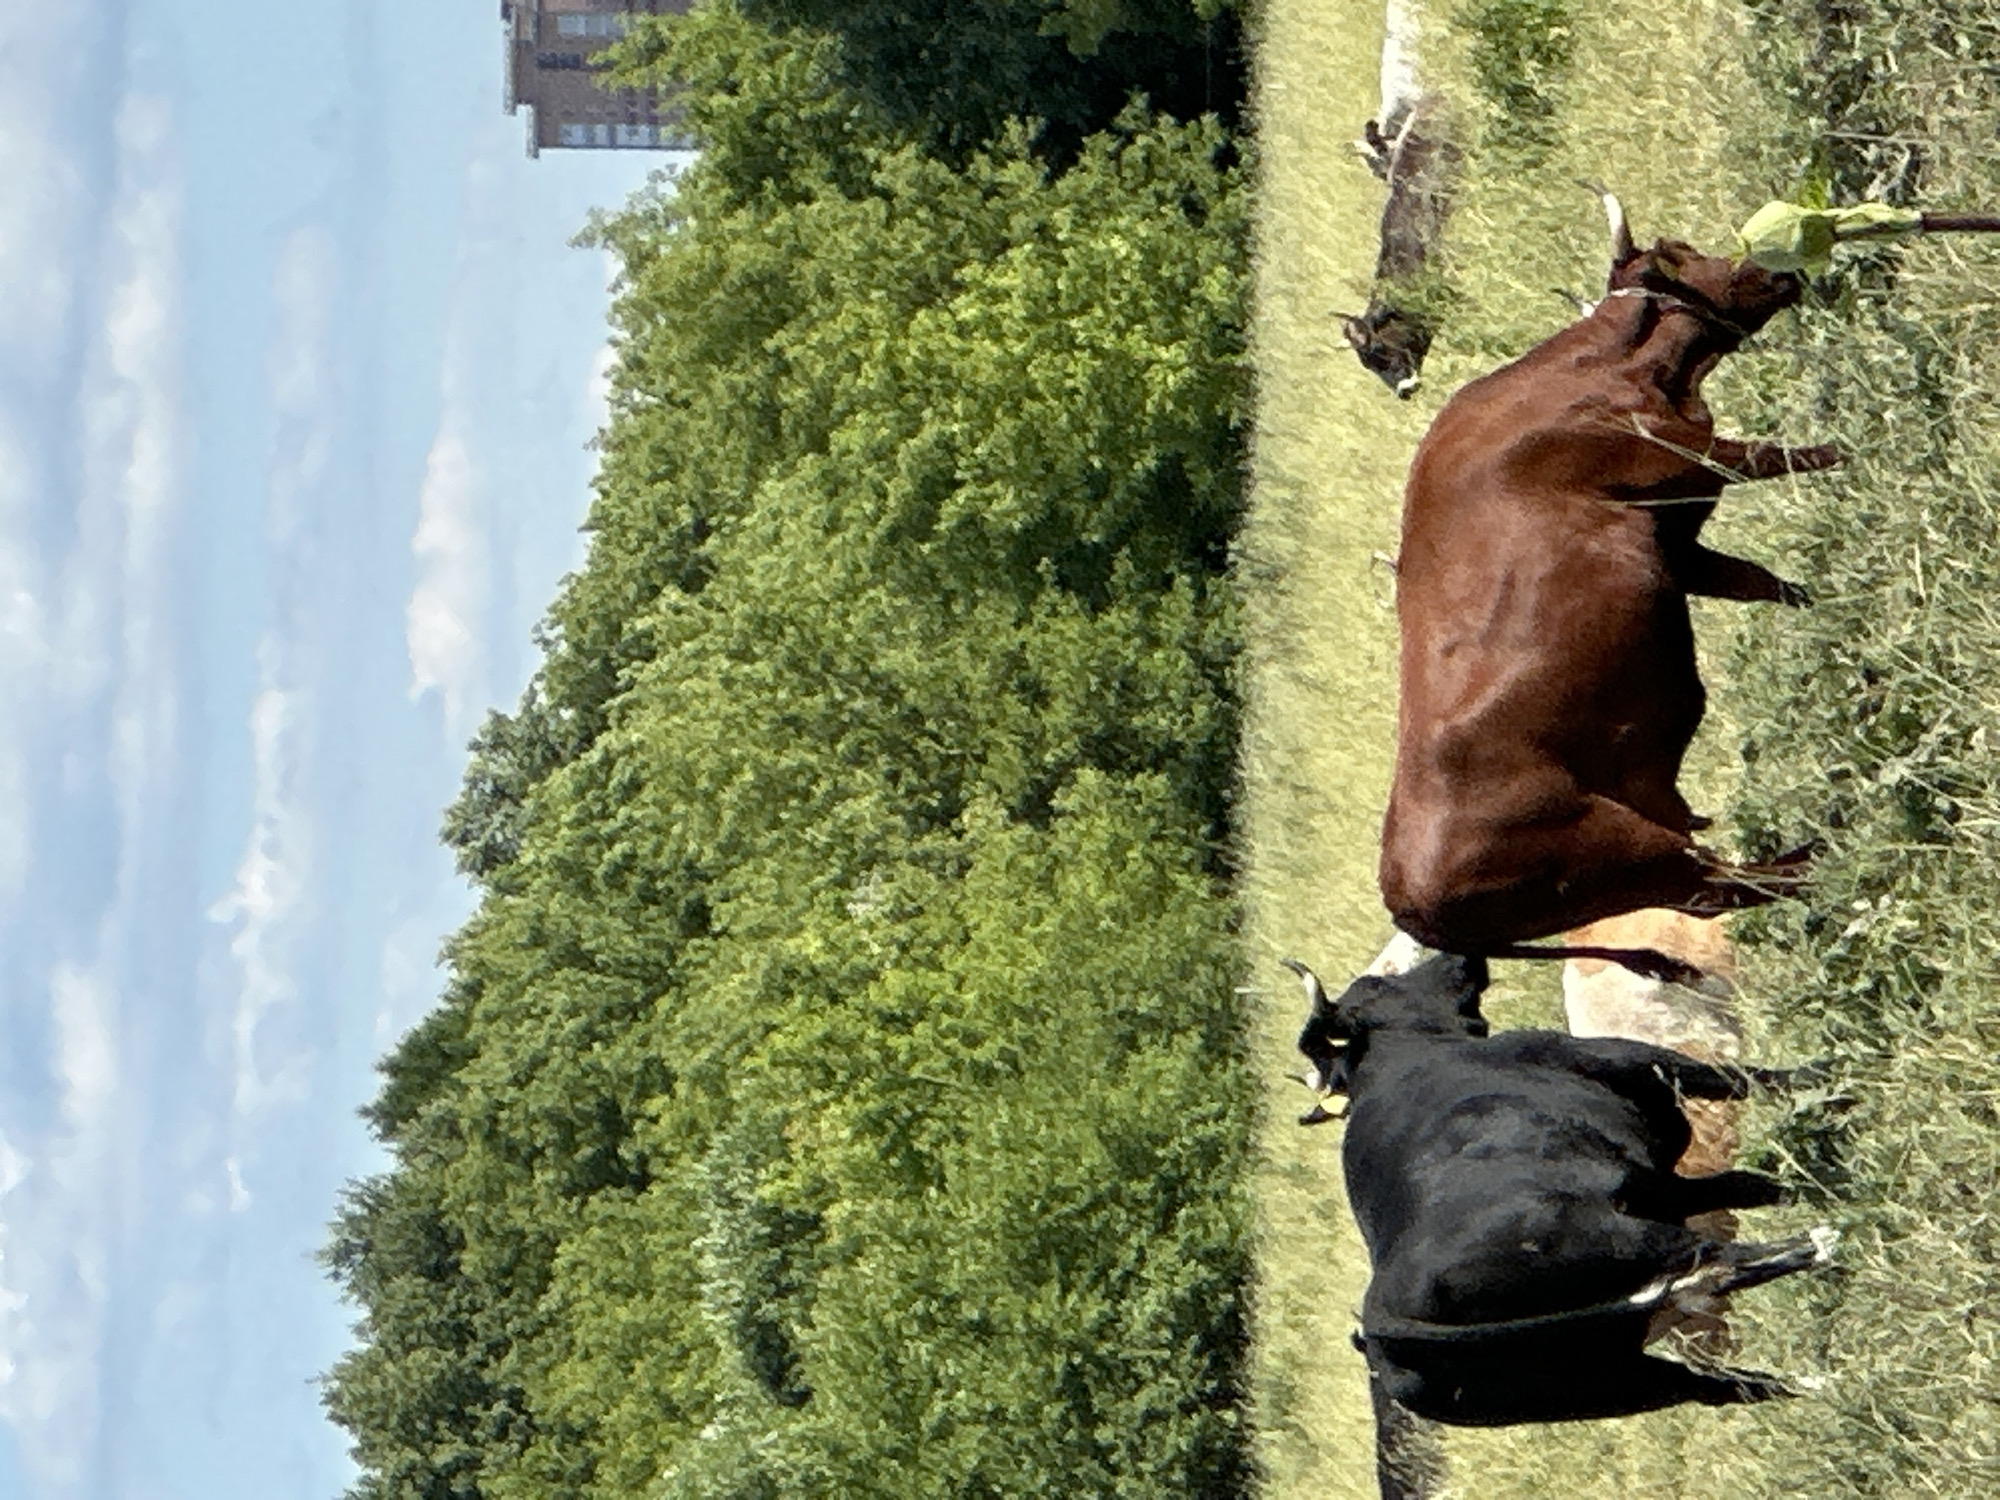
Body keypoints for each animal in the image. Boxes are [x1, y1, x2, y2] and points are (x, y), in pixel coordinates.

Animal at [1285, 949, 1833, 1428]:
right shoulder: (1630, 1063)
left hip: (1617, 1380)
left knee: (1729, 1382)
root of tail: (1381, 1322)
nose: (1456, 955)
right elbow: (1742, 1083)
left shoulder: (1665, 1183)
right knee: (1724, 1263)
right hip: (1630, 1242)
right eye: (1379, 983)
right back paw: (1827, 1245)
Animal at [1379, 193, 1838, 982]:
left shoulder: (1680, 543)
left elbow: (1763, 584)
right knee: (1728, 886)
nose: (1773, 269)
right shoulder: (1691, 460)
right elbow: (1791, 455)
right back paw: (1831, 860)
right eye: (1682, 254)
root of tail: (1405, 897)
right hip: (1632, 852)